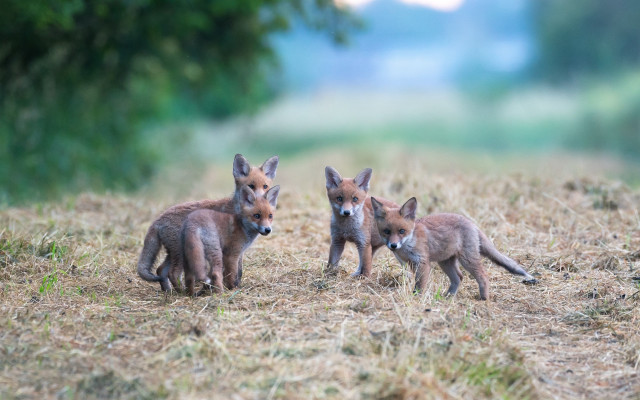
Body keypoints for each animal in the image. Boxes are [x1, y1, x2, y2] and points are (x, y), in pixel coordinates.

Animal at [137, 154, 279, 292]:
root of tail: (158, 220)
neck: (236, 209)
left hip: (173, 253)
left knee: (160, 270)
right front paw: (228, 287)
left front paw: (235, 286)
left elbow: (239, 272)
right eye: (251, 186)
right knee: (173, 273)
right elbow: (229, 272)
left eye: (265, 186)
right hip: (181, 251)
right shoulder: (231, 248)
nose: (261, 199)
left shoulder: (238, 250)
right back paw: (182, 292)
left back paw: (168, 291)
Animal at [370, 196, 537, 300]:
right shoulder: (409, 264)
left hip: (467, 260)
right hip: (446, 262)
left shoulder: (423, 263)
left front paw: (416, 298)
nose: (393, 245)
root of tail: (472, 224)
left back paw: (484, 298)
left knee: (483, 275)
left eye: (401, 231)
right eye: (386, 231)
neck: (409, 242)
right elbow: (413, 281)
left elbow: (420, 285)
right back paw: (449, 297)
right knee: (459, 277)